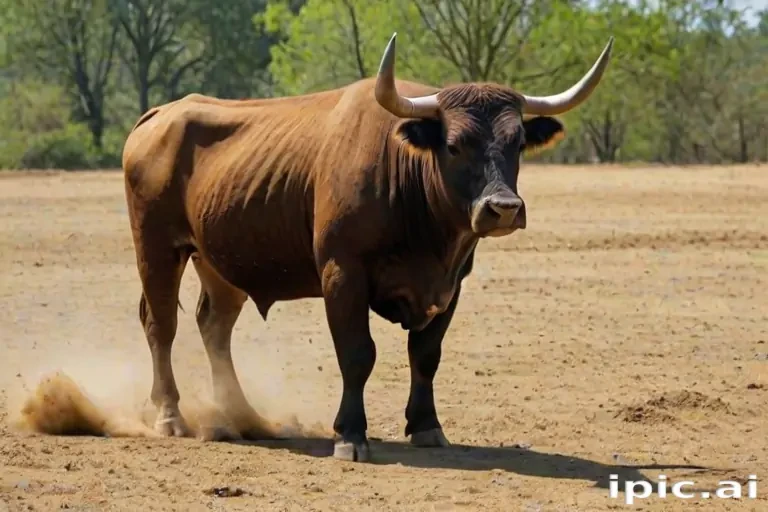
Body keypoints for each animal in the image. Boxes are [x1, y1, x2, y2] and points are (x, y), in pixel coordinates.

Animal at [122, 33, 613, 462]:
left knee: (214, 326)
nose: (504, 209)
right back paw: (171, 416)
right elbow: (358, 354)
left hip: (221, 264)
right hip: (157, 249)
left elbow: (426, 355)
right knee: (160, 324)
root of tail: (160, 114)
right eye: (455, 145)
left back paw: (243, 417)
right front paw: (350, 435)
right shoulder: (343, 273)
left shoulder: (452, 284)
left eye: (518, 144)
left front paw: (426, 426)